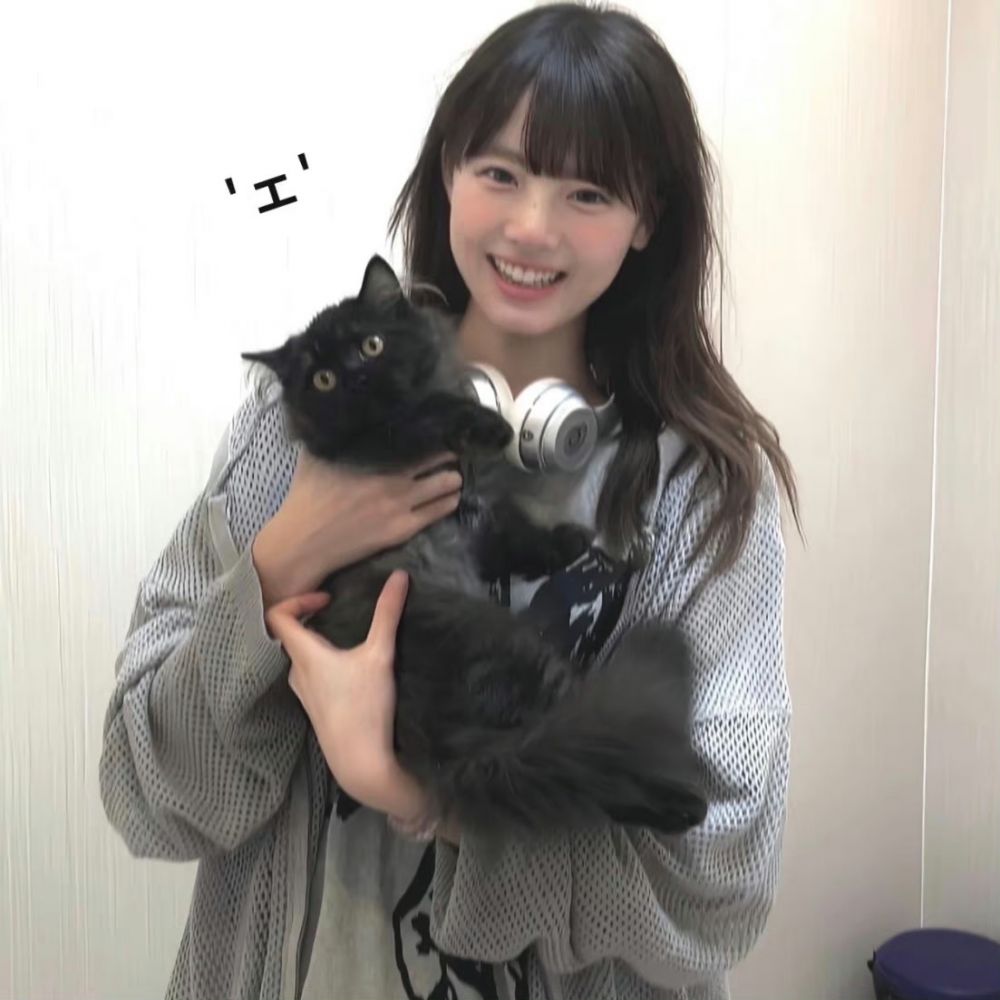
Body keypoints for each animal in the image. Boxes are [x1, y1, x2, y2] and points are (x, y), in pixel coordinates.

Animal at [241, 254, 708, 848]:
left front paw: (569, 542)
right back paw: (683, 804)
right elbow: (425, 414)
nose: (359, 378)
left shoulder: (476, 520)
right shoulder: (380, 443)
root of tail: (464, 748)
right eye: (324, 381)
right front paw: (492, 425)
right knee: (593, 752)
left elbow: (515, 538)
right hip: (524, 661)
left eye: (371, 345)